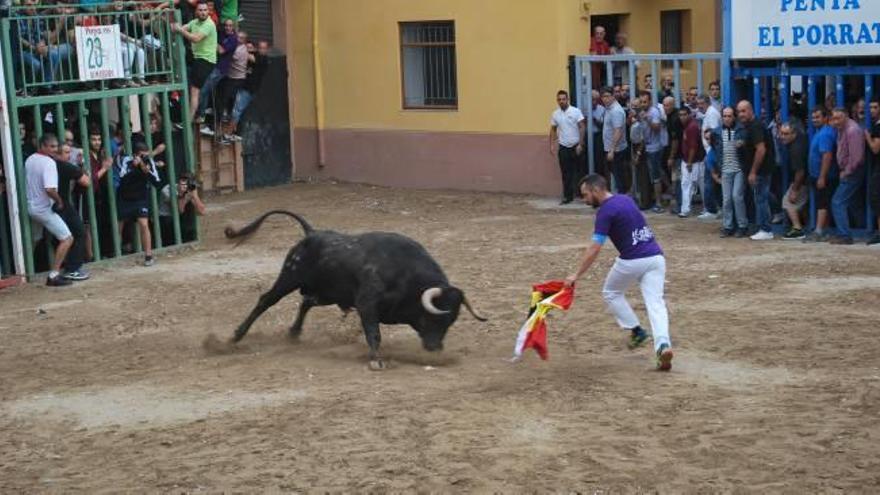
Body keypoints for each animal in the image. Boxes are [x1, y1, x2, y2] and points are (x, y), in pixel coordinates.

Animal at [223, 209, 484, 368]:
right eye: (433, 318)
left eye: (451, 322)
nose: (435, 348)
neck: (406, 274)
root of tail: (311, 234)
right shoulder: (366, 304)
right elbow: (373, 333)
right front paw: (376, 361)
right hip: (289, 277)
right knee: (266, 300)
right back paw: (236, 335)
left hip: (327, 293)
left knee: (307, 302)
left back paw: (294, 333)